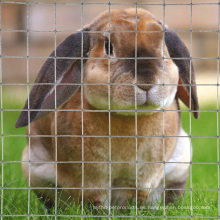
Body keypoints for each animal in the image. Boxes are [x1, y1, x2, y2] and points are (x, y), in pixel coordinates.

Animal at [15, 7, 199, 209]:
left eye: (162, 48)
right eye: (109, 47)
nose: (146, 83)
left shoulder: (142, 177)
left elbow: (133, 198)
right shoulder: (91, 178)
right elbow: (95, 199)